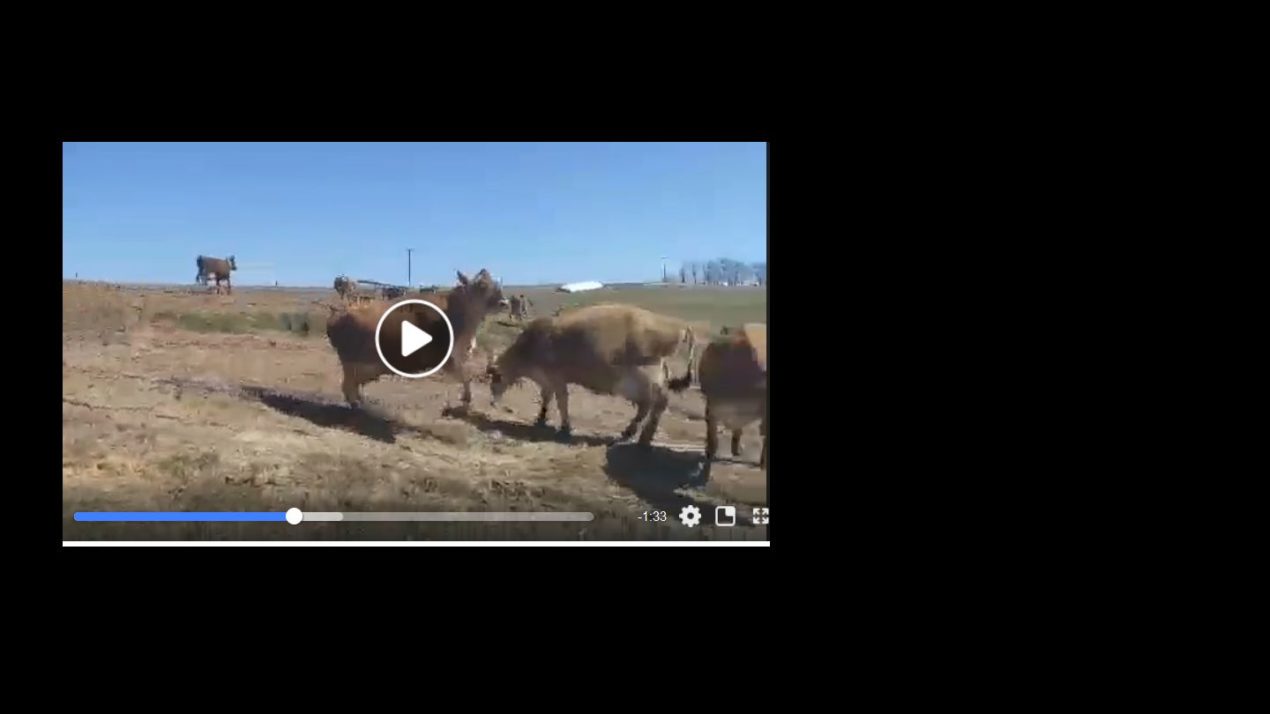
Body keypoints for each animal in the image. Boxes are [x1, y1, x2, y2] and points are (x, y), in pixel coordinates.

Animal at [325, 269, 504, 409]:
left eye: (495, 282)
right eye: (481, 285)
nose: (504, 302)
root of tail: (338, 315)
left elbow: (466, 376)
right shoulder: (448, 360)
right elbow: (465, 376)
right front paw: (466, 398)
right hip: (351, 363)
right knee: (348, 385)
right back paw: (356, 402)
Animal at [487, 304, 695, 446]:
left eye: (494, 378)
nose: (492, 402)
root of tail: (677, 326)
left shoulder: (556, 377)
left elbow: (562, 401)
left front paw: (565, 427)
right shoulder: (547, 380)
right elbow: (546, 398)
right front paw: (541, 418)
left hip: (643, 378)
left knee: (657, 403)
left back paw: (638, 435)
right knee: (649, 406)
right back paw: (637, 435)